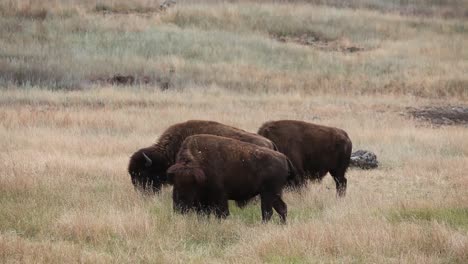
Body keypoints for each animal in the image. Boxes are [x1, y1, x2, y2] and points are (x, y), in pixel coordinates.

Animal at [168, 134, 300, 223]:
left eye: (191, 183)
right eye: (175, 182)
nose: (179, 207)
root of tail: (283, 157)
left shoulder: (219, 197)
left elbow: (222, 213)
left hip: (268, 194)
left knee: (268, 212)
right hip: (273, 194)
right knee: (281, 208)